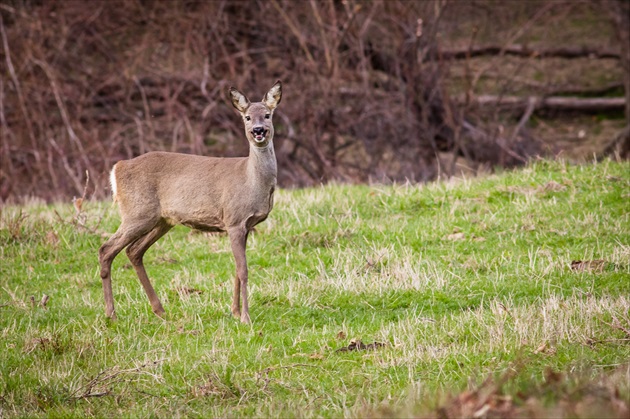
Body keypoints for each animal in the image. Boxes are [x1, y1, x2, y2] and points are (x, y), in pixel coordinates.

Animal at [98, 81, 282, 324]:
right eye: (247, 117)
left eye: (268, 115)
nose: (258, 131)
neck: (251, 180)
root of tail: (117, 168)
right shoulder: (233, 219)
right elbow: (243, 270)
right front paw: (245, 317)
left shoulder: (246, 225)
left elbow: (237, 268)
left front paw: (234, 312)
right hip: (137, 212)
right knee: (106, 249)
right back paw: (111, 314)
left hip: (162, 220)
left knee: (134, 251)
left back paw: (159, 310)